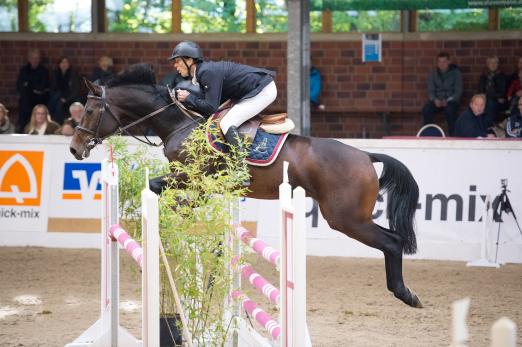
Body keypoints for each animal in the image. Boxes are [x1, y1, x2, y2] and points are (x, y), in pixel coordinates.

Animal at [69, 64, 420, 308]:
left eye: (90, 110)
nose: (74, 148)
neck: (180, 125)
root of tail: (365, 155)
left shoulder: (192, 177)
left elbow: (161, 189)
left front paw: (169, 223)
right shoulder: (197, 183)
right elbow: (175, 197)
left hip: (345, 218)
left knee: (391, 242)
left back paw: (406, 294)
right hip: (351, 217)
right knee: (393, 239)